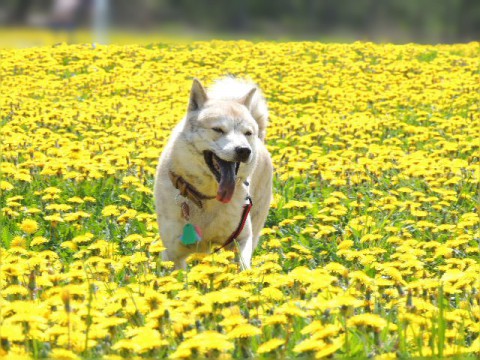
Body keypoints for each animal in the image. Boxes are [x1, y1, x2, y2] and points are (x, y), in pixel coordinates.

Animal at [155, 77, 272, 268]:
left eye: (247, 133)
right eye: (218, 129)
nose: (244, 150)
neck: (207, 197)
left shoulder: (241, 237)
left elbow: (244, 266)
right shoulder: (172, 254)